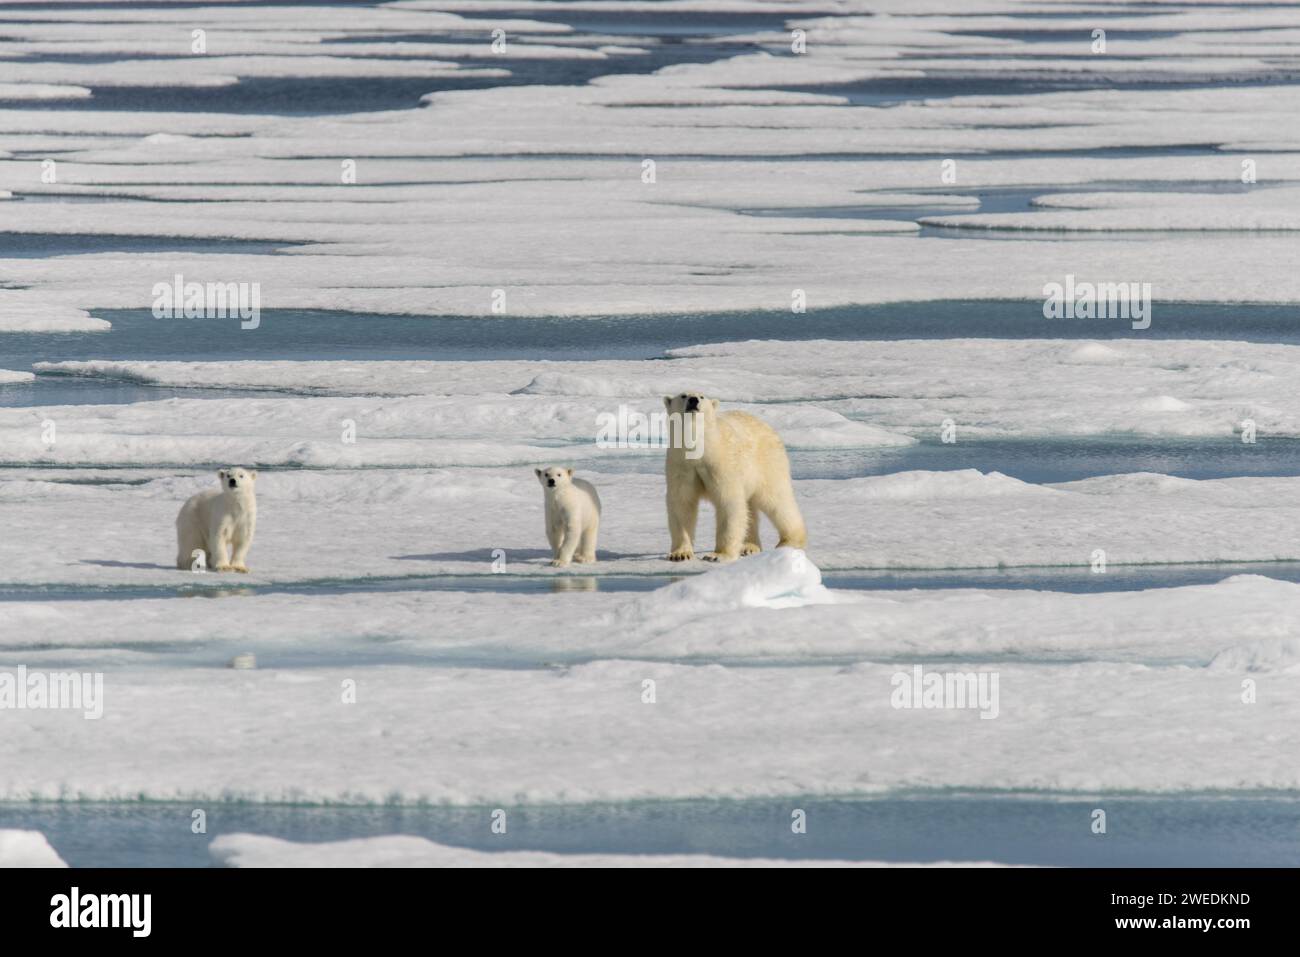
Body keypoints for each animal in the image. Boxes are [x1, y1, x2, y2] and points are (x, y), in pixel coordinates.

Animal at [663, 392, 806, 562]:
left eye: (702, 396)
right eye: (683, 395)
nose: (693, 400)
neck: (699, 450)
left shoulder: (720, 464)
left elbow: (728, 502)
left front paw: (717, 555)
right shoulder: (681, 465)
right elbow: (682, 503)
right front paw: (680, 554)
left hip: (767, 463)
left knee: (777, 500)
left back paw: (789, 541)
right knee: (751, 509)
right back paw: (749, 546)